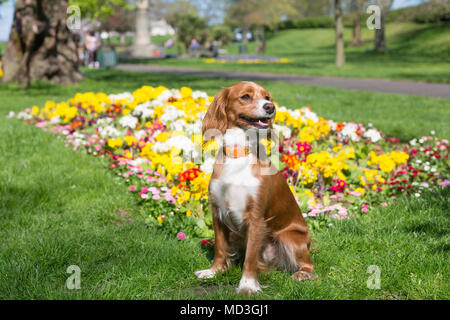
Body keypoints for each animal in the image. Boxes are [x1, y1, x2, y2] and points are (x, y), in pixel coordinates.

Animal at [195, 80, 314, 296]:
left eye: (267, 97)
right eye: (245, 96)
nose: (270, 107)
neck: (238, 153)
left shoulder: (256, 217)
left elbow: (250, 257)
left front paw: (248, 285)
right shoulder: (217, 212)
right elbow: (219, 249)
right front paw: (214, 272)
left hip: (290, 237)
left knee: (309, 265)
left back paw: (302, 274)